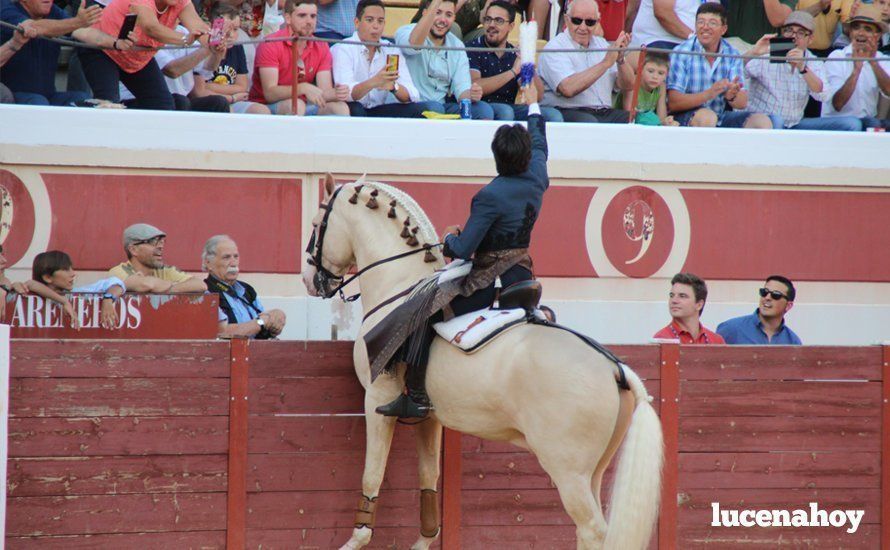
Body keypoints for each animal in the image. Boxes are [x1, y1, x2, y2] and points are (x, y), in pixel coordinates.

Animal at [304, 178, 660, 550]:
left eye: (316, 225)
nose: (309, 279)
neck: (398, 287)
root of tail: (614, 367)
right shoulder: (429, 417)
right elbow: (429, 476)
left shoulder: (376, 399)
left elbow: (371, 474)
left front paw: (354, 540)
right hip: (594, 471)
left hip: (569, 471)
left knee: (593, 530)